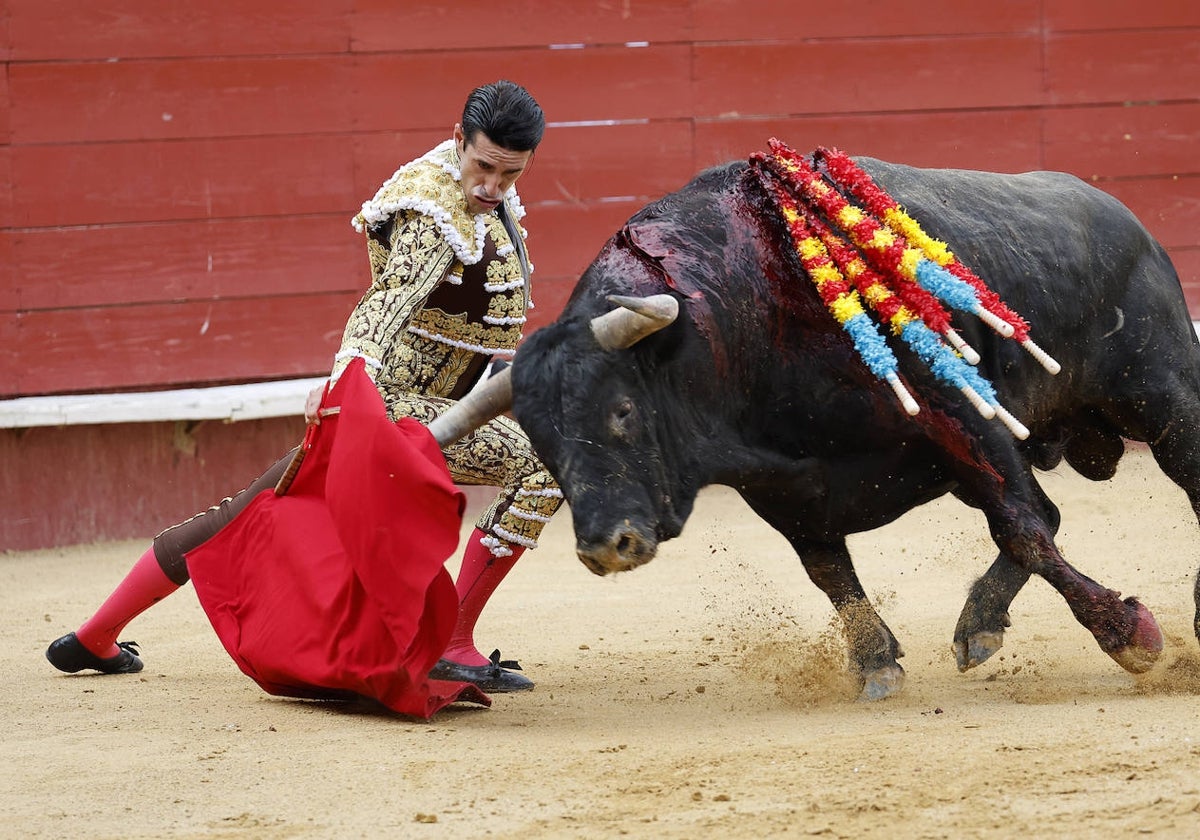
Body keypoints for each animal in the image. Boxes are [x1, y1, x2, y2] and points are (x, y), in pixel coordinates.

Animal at [436, 151, 1200, 700]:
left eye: (621, 409)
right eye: (543, 440)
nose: (606, 546)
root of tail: (1129, 221)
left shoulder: (967, 422)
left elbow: (1021, 529)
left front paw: (1130, 635)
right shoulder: (785, 485)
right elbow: (828, 570)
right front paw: (875, 661)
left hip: (1164, 402)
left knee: (1145, 491)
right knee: (1049, 510)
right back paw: (979, 626)